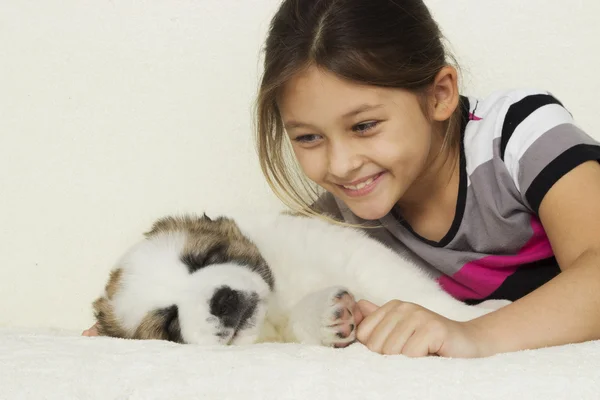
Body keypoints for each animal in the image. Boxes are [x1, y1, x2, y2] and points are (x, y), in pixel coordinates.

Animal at [94, 212, 506, 346]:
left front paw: (473, 318)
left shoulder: (349, 250)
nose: (222, 300)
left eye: (208, 258)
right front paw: (329, 317)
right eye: (170, 322)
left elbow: (418, 294)